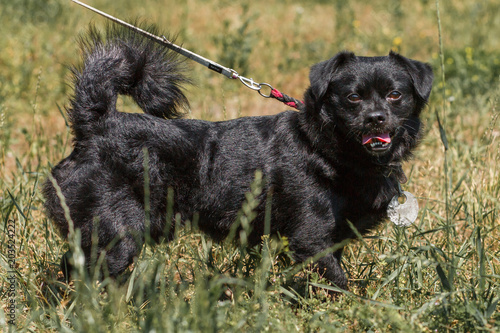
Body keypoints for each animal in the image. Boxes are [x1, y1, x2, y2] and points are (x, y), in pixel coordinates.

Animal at [44, 25, 434, 288]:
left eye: (395, 95)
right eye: (353, 98)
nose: (375, 118)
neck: (325, 146)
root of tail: (97, 125)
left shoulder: (332, 239)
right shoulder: (312, 240)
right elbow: (338, 284)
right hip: (115, 234)